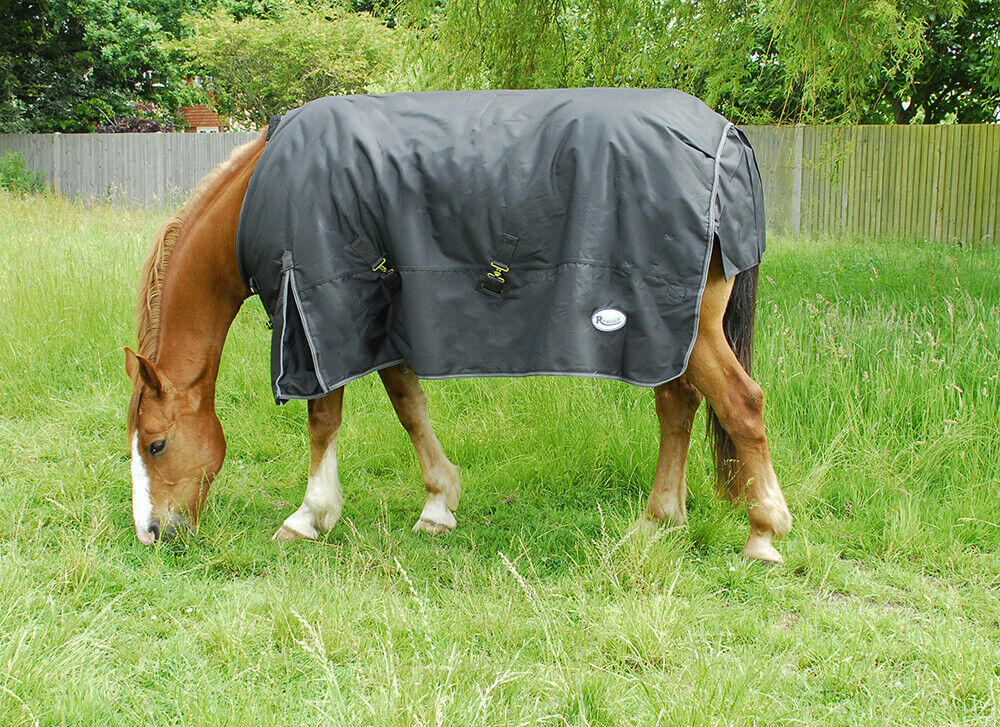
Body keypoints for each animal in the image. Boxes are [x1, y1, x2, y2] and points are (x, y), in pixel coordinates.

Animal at [125, 90, 792, 563]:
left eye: (156, 443)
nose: (152, 533)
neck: (262, 192)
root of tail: (728, 136)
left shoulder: (319, 315)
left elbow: (323, 417)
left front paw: (309, 516)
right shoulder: (385, 311)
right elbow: (409, 406)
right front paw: (438, 503)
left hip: (686, 325)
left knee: (742, 404)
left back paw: (763, 536)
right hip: (664, 332)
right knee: (678, 407)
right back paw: (656, 525)